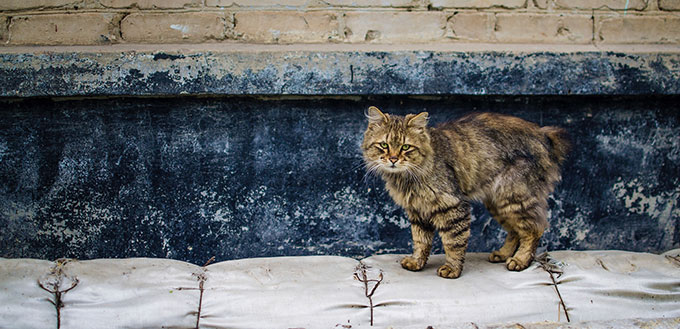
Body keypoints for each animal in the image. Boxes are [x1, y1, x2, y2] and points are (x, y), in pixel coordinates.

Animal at [362, 106, 568, 278]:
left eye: (406, 147)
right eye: (384, 145)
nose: (393, 159)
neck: (406, 178)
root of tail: (543, 133)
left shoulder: (453, 206)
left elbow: (453, 242)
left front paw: (452, 269)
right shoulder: (418, 211)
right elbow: (421, 241)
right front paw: (417, 262)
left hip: (514, 197)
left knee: (534, 229)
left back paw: (520, 260)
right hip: (498, 204)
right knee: (515, 231)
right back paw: (502, 254)